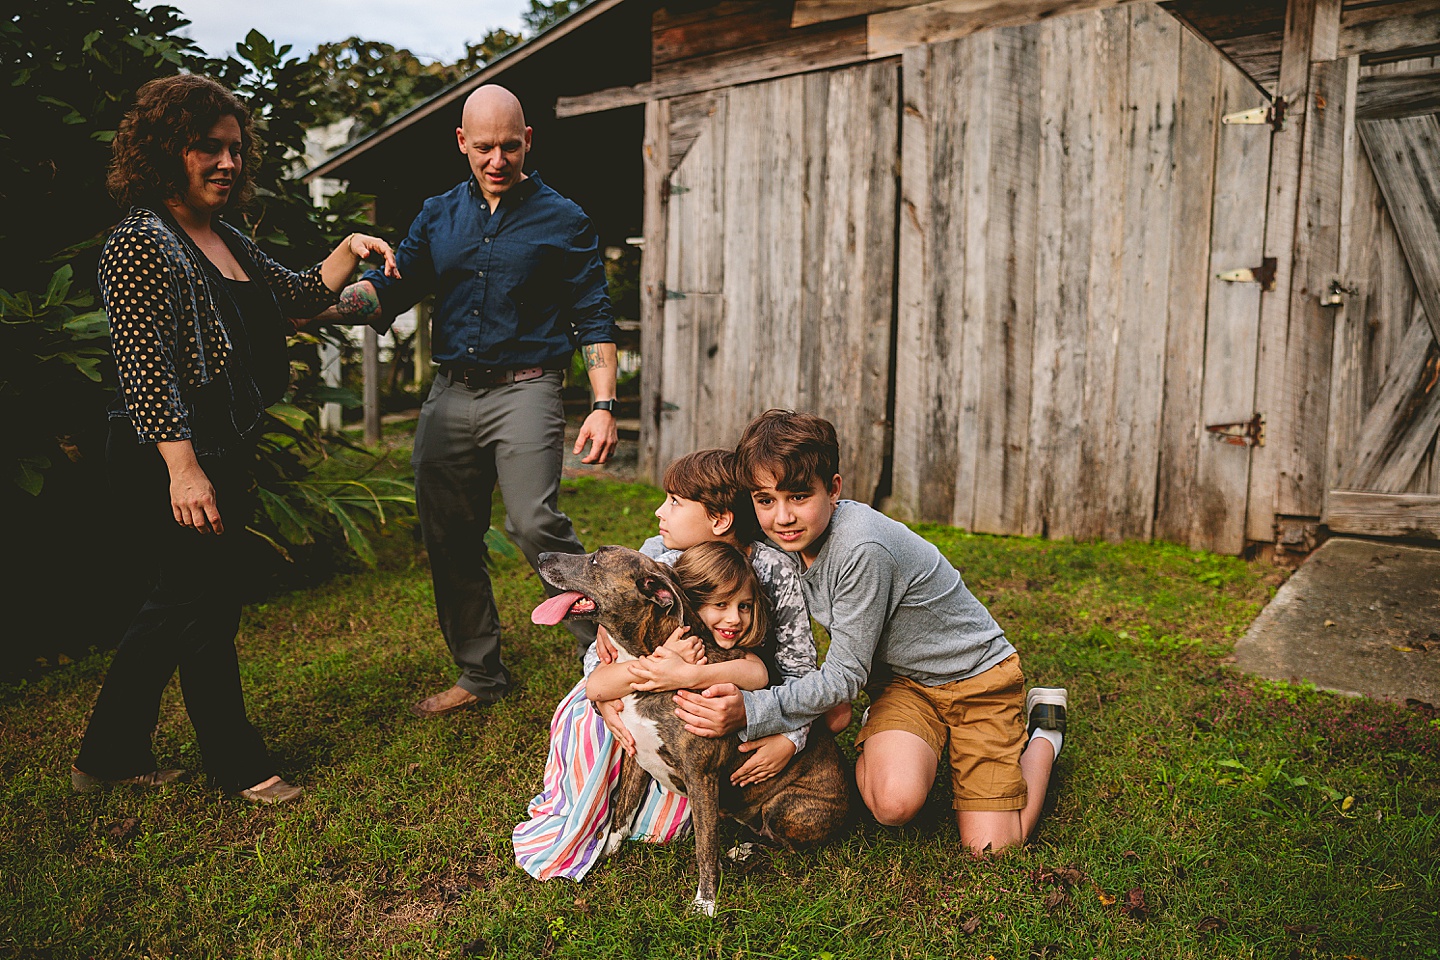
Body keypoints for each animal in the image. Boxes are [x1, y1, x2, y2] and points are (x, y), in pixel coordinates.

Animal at [541, 546, 852, 915]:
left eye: (595, 560)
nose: (542, 556)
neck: (648, 657)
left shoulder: (701, 776)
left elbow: (704, 847)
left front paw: (705, 903)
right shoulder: (636, 754)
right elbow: (622, 813)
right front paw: (606, 853)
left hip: (786, 807)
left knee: (785, 847)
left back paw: (744, 851)